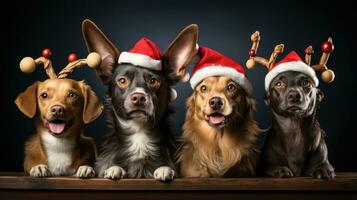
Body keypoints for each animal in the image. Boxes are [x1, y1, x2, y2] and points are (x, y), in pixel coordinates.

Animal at [81, 19, 197, 180]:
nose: (139, 97)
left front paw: (164, 169)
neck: (139, 135)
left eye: (154, 81)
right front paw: (114, 168)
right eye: (122, 81)